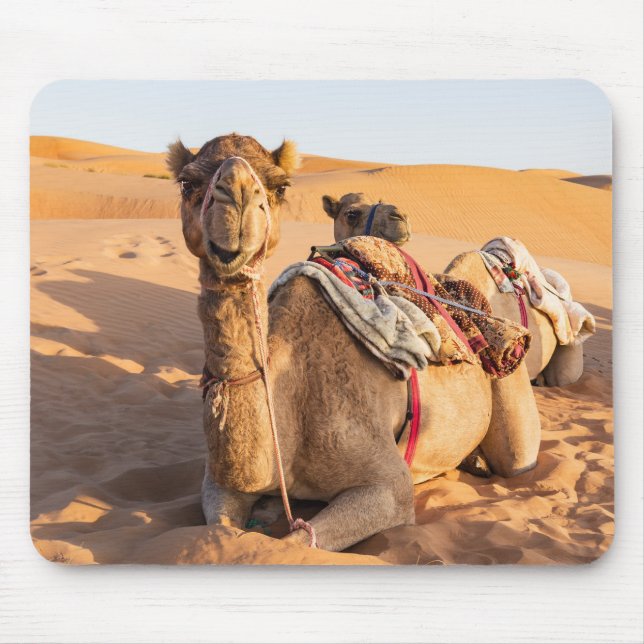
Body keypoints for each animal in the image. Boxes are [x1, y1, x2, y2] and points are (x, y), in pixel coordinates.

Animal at [167, 133, 541, 552]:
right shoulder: (218, 483)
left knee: (516, 457)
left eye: (280, 186)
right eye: (187, 183)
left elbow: (293, 543)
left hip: (511, 396)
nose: (237, 198)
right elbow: (222, 530)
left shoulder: (389, 486)